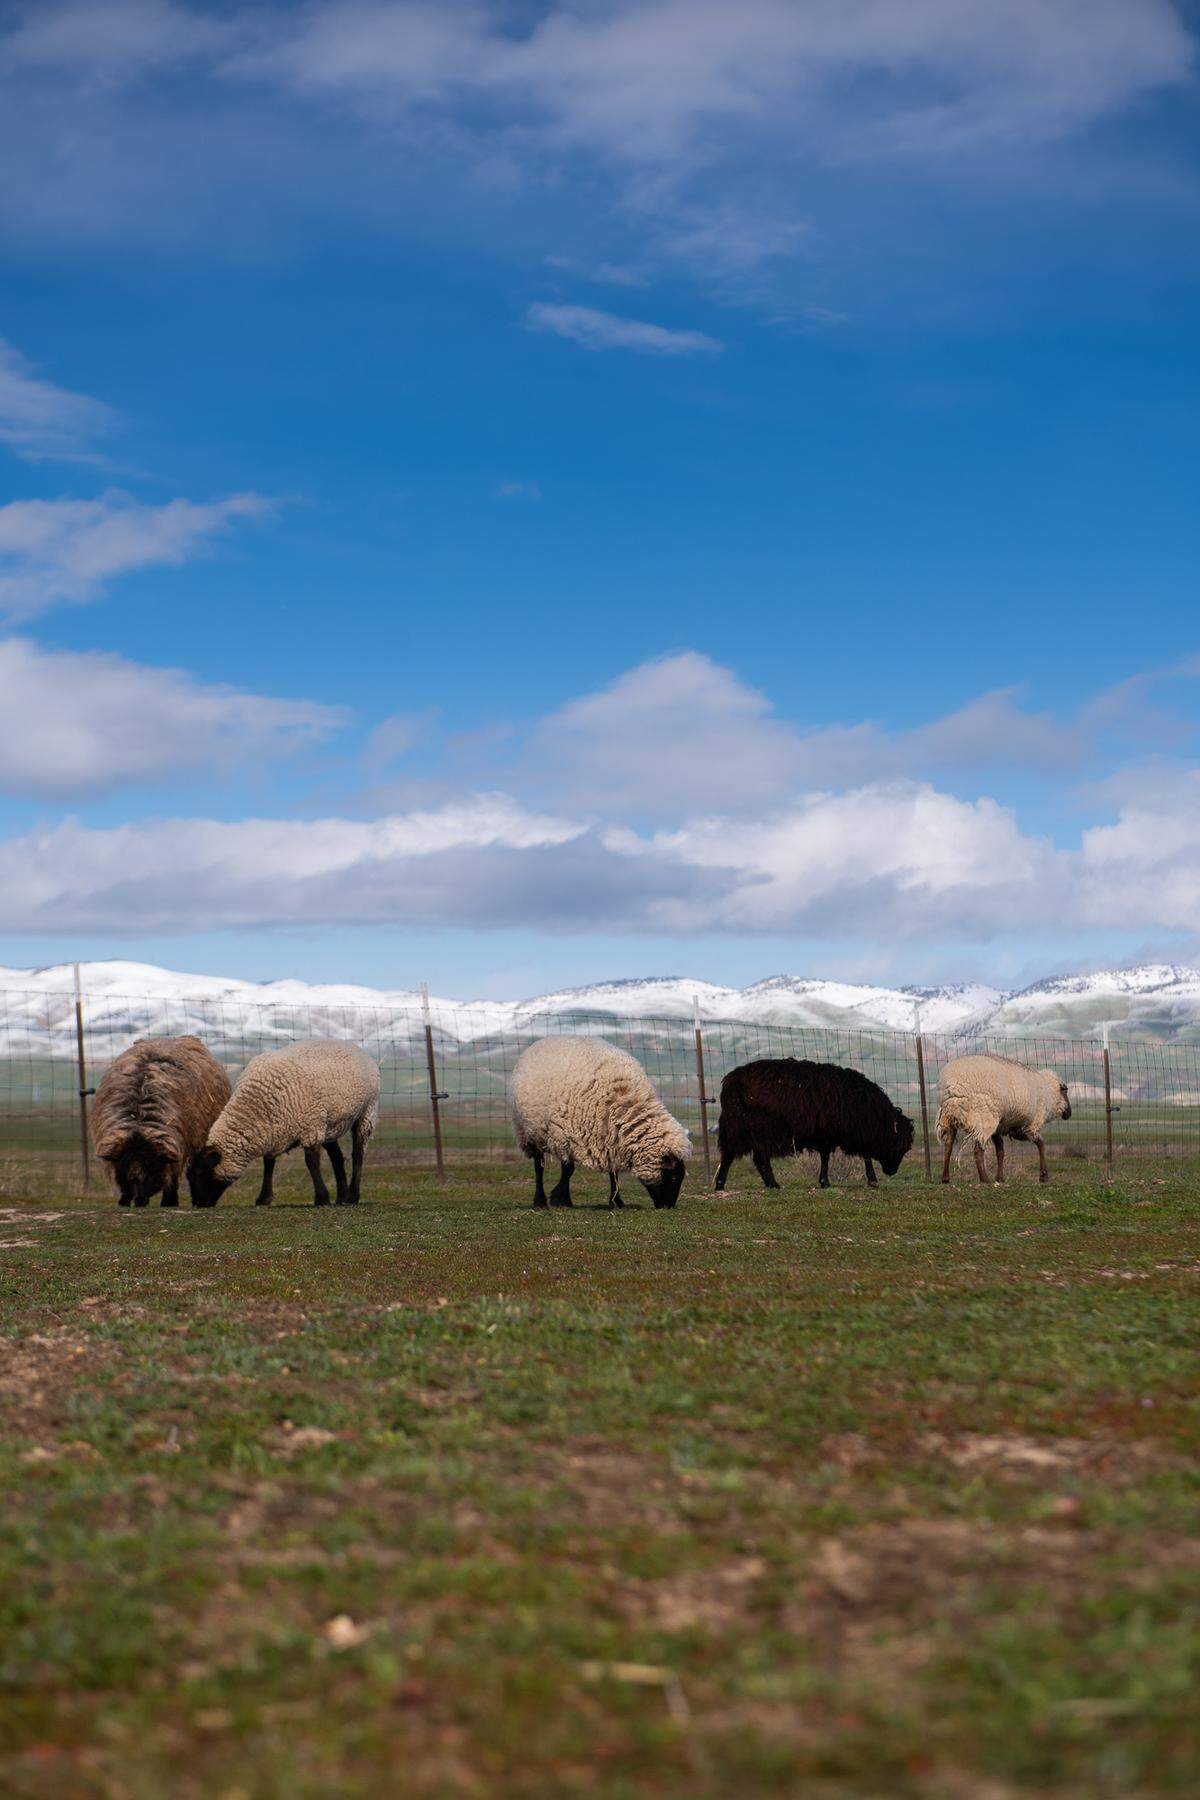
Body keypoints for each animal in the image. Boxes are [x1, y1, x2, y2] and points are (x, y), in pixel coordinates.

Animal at [90, 1035, 231, 1208]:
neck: (139, 1117)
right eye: (125, 1166)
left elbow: (172, 1176)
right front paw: (124, 1200)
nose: (139, 1200)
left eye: (152, 1166)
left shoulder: (178, 1144)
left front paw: (169, 1201)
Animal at [190, 1040, 380, 1207]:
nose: (198, 1204)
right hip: (328, 1124)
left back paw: (353, 1197)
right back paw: (342, 1197)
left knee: (358, 1154)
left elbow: (311, 1162)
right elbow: (268, 1163)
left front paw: (322, 1198)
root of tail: (355, 1047)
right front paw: (264, 1199)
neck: (257, 1105)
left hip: (366, 1112)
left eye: (201, 1172)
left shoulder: (310, 1127)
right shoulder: (272, 1131)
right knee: (337, 1157)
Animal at [509, 1035, 689, 1209]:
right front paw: (560, 1198)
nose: (668, 1207)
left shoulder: (611, 1139)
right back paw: (540, 1201)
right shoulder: (567, 1136)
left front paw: (617, 1202)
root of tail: (541, 1040)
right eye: (674, 1177)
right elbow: (568, 1170)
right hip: (530, 1132)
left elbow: (613, 1172)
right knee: (539, 1167)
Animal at [713, 1058, 914, 1193]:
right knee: (757, 1158)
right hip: (756, 1128)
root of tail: (730, 1081)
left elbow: (843, 1156)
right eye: (900, 1146)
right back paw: (772, 1184)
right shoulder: (833, 1133)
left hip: (736, 1128)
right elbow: (836, 1157)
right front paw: (828, 1181)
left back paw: (722, 1185)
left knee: (730, 1155)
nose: (892, 1171)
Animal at [936, 1053, 1071, 1185]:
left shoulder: (1002, 1128)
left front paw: (1000, 1178)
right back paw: (985, 1180)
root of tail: (952, 1086)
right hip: (983, 1118)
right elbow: (1041, 1144)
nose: (1069, 1114)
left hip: (948, 1117)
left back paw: (945, 1178)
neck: (1048, 1094)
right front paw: (1044, 1175)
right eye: (1065, 1092)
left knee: (948, 1145)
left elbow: (1000, 1152)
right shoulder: (1028, 1127)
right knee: (977, 1150)